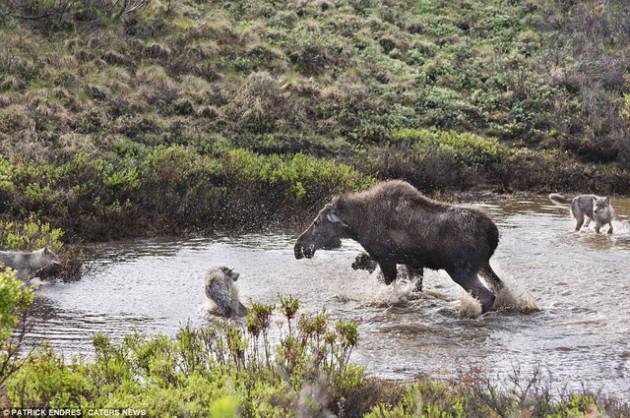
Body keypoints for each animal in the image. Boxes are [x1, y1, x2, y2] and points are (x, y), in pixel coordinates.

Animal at [294, 180, 506, 314]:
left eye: (316, 222)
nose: (299, 246)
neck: (357, 226)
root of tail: (493, 234)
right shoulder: (412, 263)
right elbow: (414, 288)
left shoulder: (386, 258)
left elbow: (386, 286)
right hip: (483, 265)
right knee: (499, 286)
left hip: (461, 270)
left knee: (488, 296)